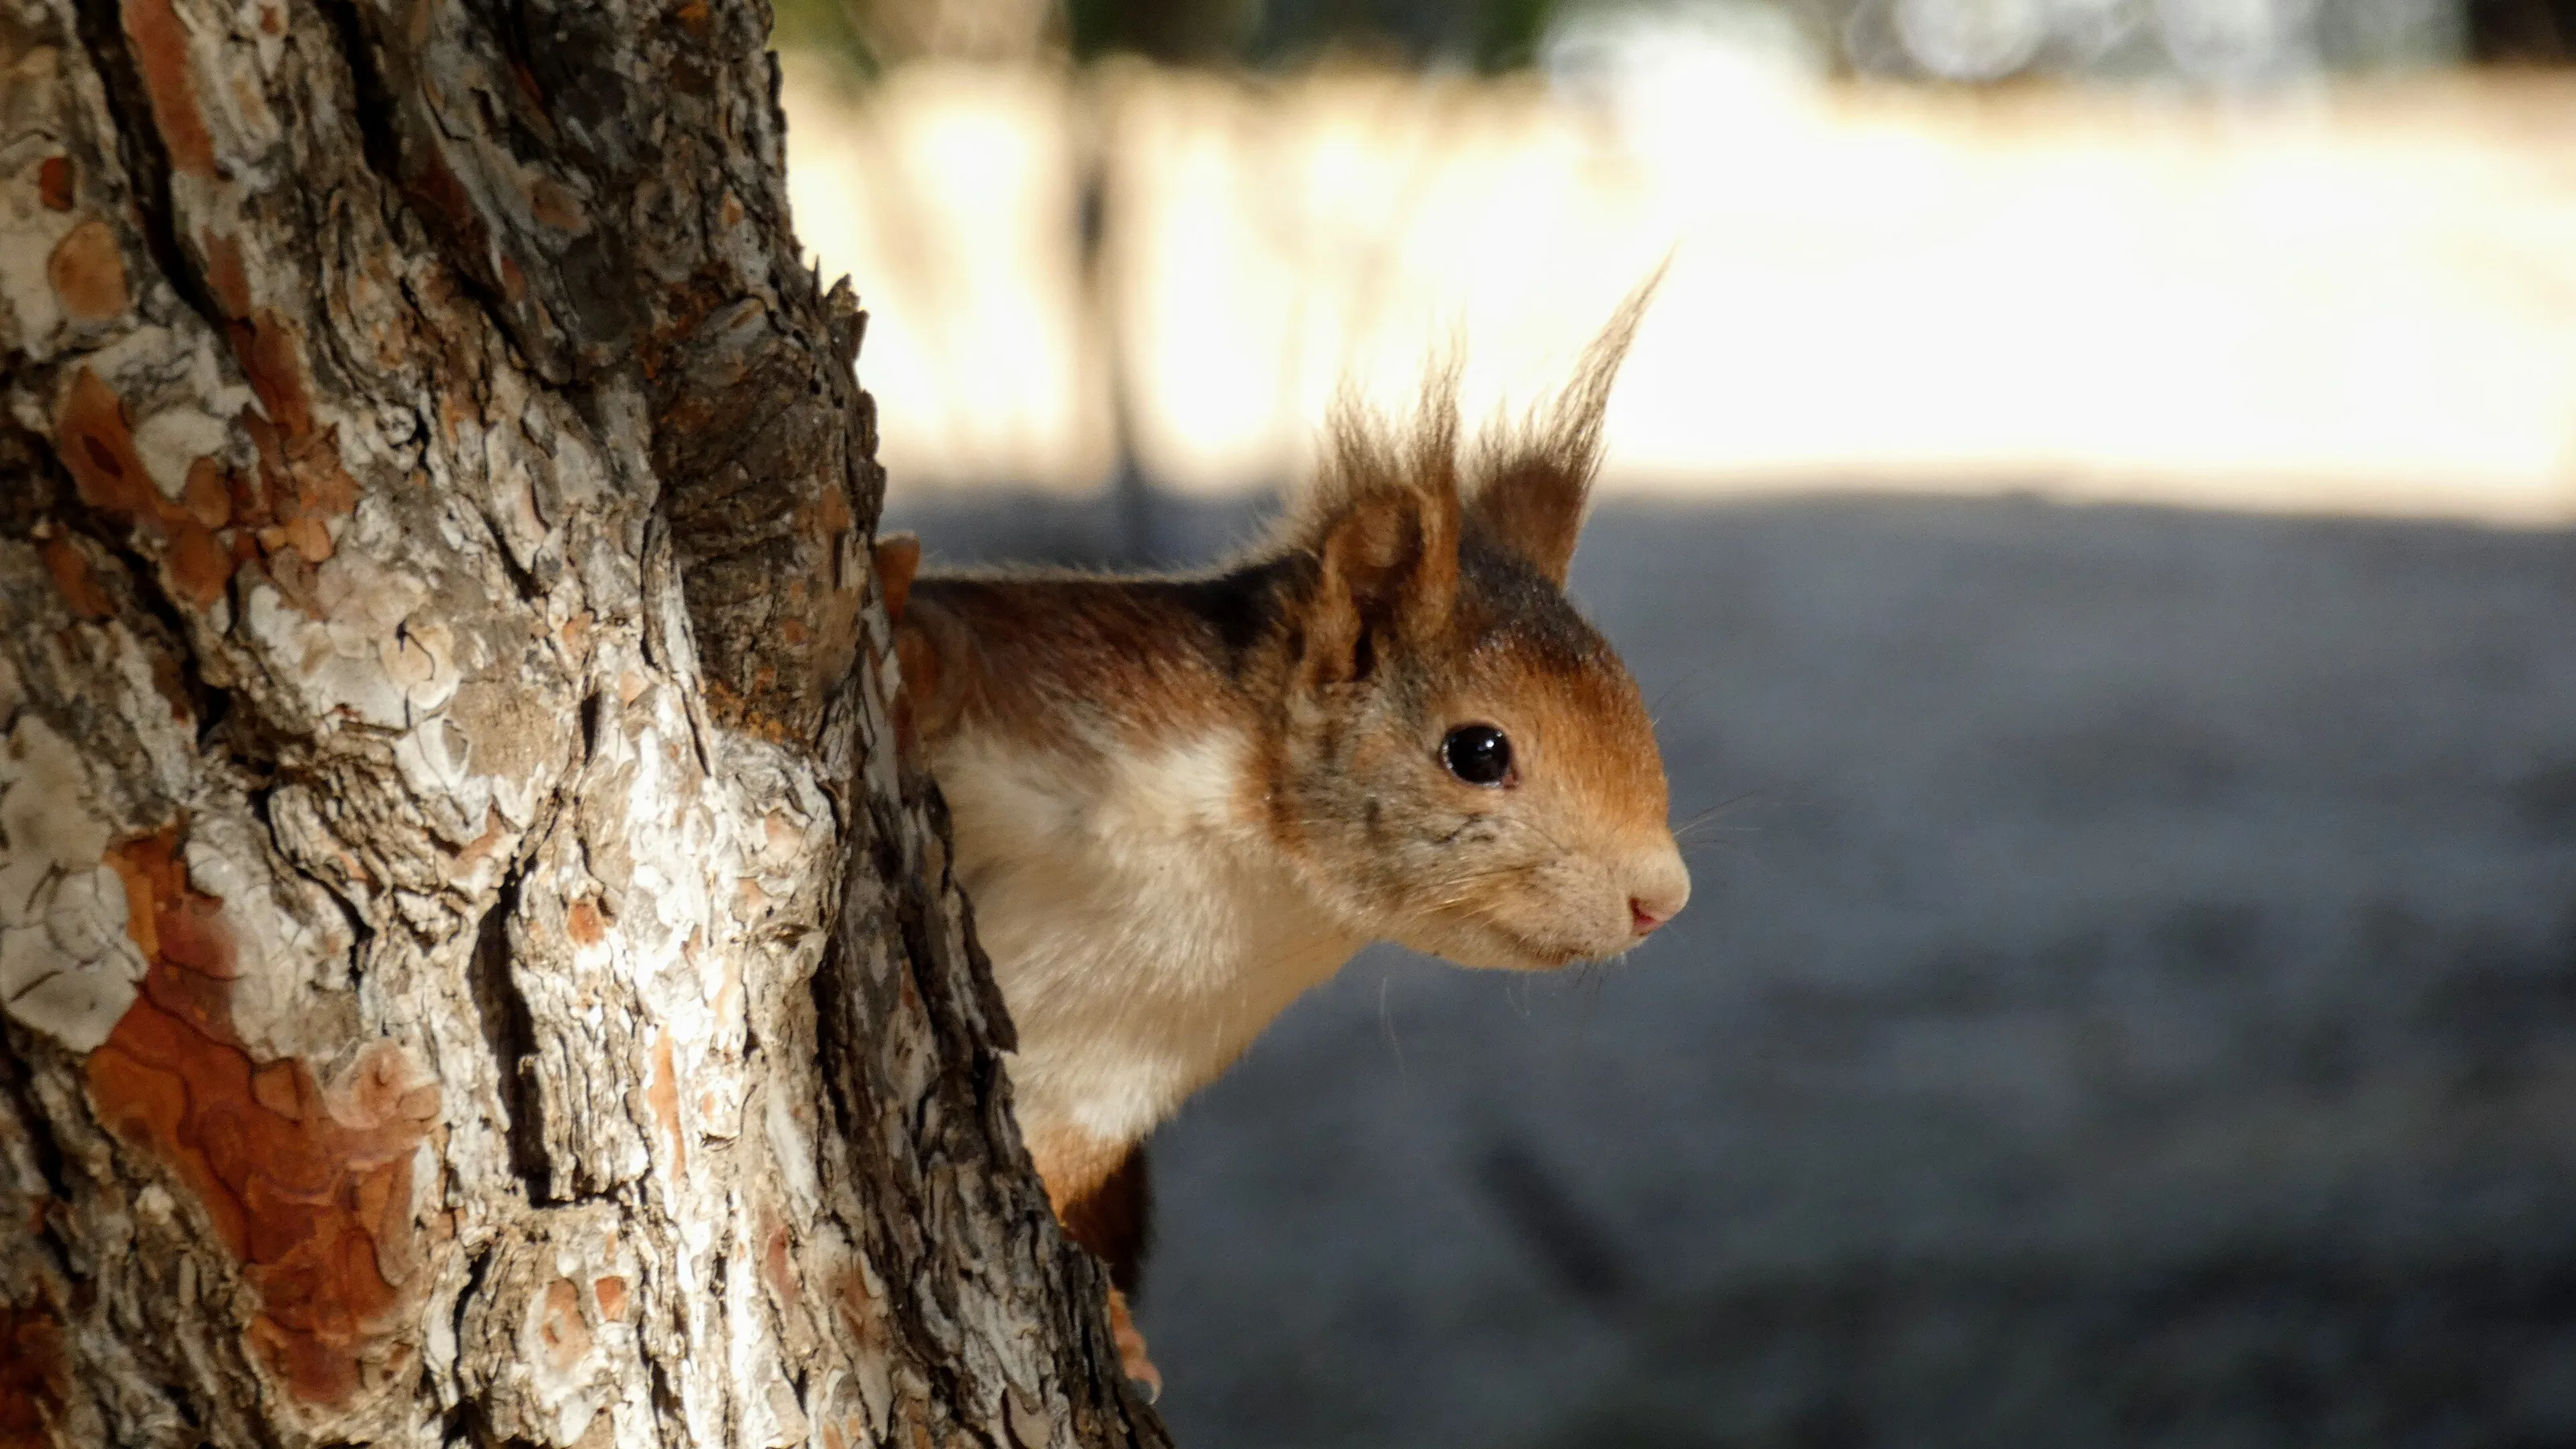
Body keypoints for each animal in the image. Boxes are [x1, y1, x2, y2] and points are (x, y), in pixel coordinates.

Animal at [868, 290, 1688, 1398]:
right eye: (1477, 751)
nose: (1662, 898)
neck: (1253, 874)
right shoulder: (1073, 683)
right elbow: (944, 656)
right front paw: (897, 612)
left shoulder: (1106, 1076)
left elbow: (1060, 1173)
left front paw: (1118, 1332)